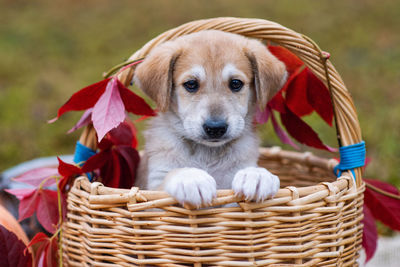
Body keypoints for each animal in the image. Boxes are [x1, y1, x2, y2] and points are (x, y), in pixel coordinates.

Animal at [134, 30, 288, 207]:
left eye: (236, 83)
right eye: (191, 84)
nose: (215, 128)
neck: (207, 153)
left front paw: (256, 175)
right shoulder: (152, 192)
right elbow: (171, 175)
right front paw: (191, 179)